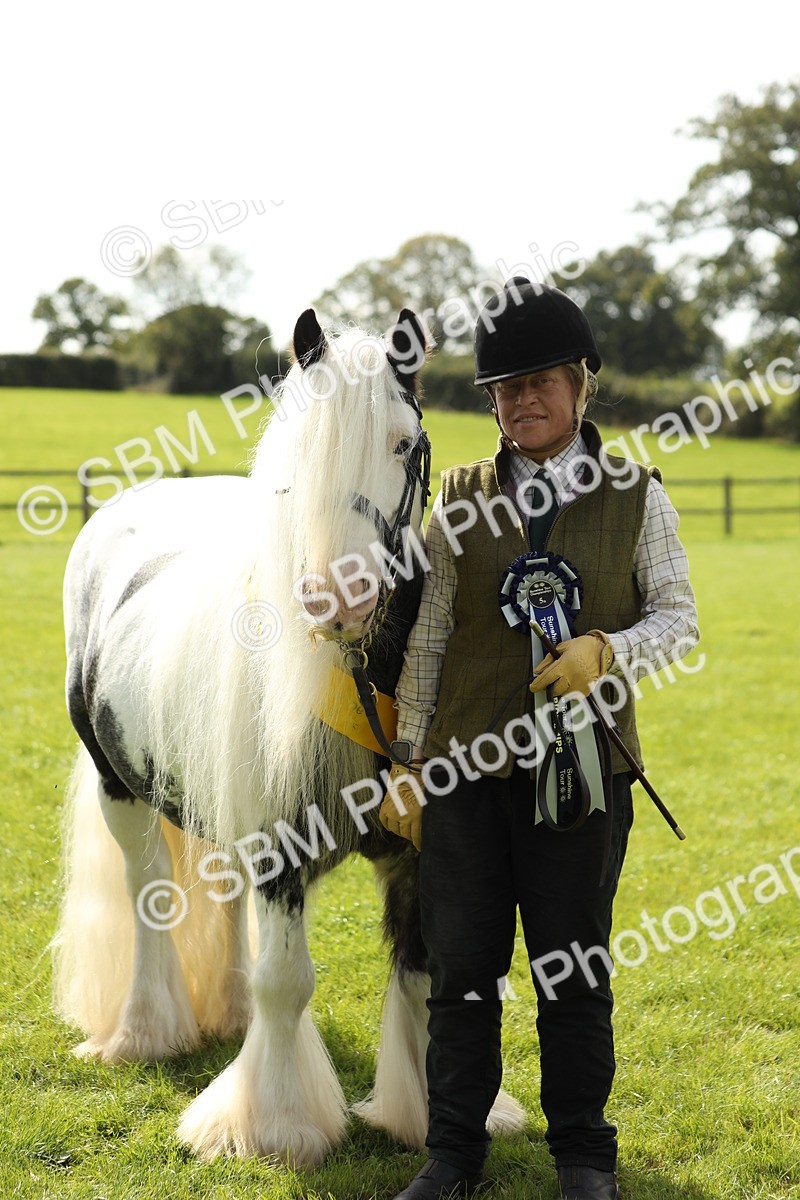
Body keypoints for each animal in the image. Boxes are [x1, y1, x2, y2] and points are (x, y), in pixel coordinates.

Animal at [53, 306, 525, 1167]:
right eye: (298, 453)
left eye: (404, 442)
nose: (338, 597)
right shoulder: (280, 846)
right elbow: (288, 980)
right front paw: (272, 1126)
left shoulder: (419, 848)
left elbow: (419, 975)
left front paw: (420, 1113)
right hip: (118, 789)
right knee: (149, 898)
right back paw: (144, 1033)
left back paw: (228, 1015)